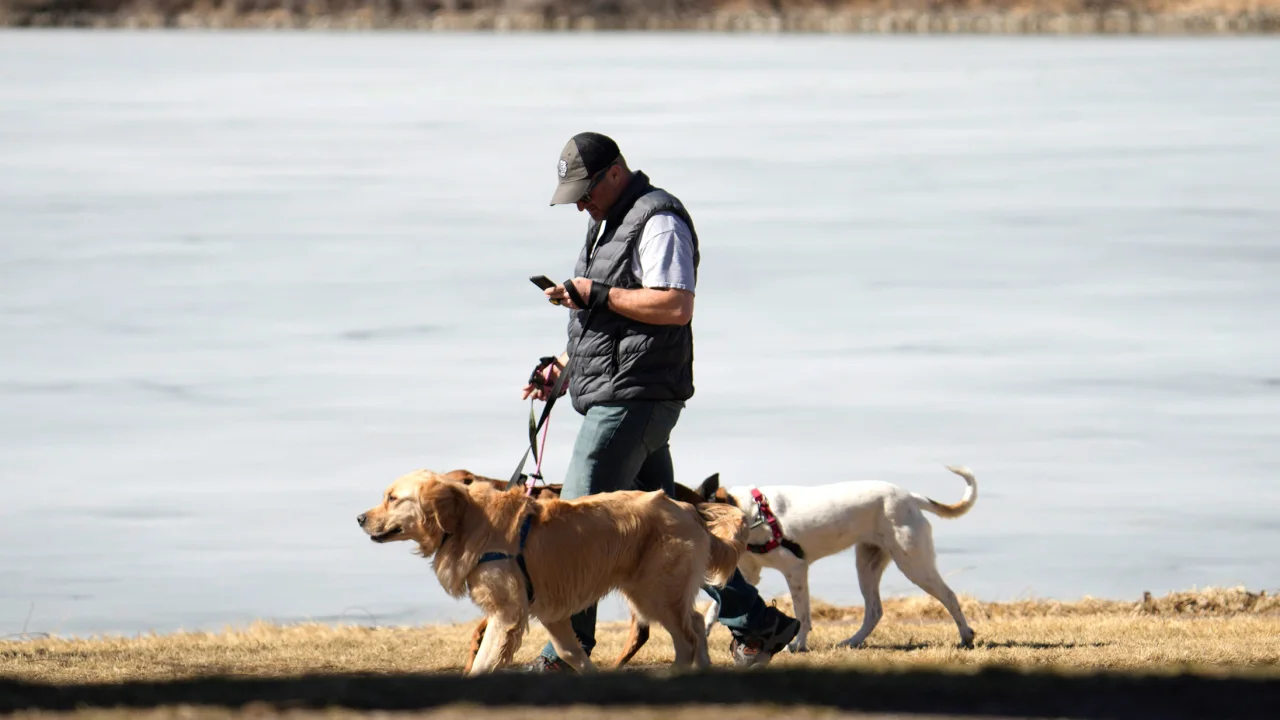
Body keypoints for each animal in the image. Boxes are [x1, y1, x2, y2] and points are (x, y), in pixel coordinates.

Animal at [696, 466, 972, 650]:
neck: (753, 514)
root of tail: (911, 497)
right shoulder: (748, 575)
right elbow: (714, 609)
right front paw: (704, 635)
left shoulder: (796, 570)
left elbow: (803, 614)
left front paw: (799, 645)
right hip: (867, 565)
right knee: (875, 611)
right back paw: (853, 641)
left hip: (913, 563)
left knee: (949, 597)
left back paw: (966, 637)